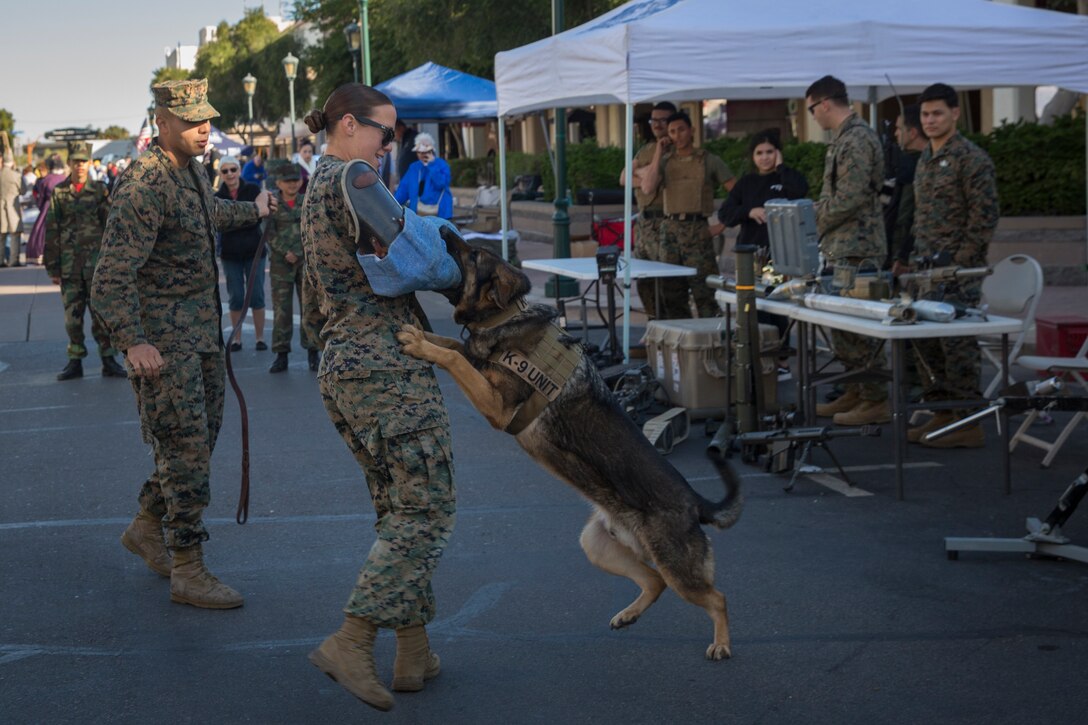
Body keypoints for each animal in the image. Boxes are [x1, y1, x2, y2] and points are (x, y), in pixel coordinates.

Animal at [396, 229, 744, 653]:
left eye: (473, 254)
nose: (443, 229)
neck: (505, 315)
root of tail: (695, 503)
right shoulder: (477, 363)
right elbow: (449, 343)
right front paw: (420, 335)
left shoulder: (496, 406)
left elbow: (455, 358)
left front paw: (420, 345)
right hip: (598, 547)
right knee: (654, 580)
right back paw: (629, 615)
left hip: (678, 567)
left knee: (716, 597)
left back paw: (722, 644)